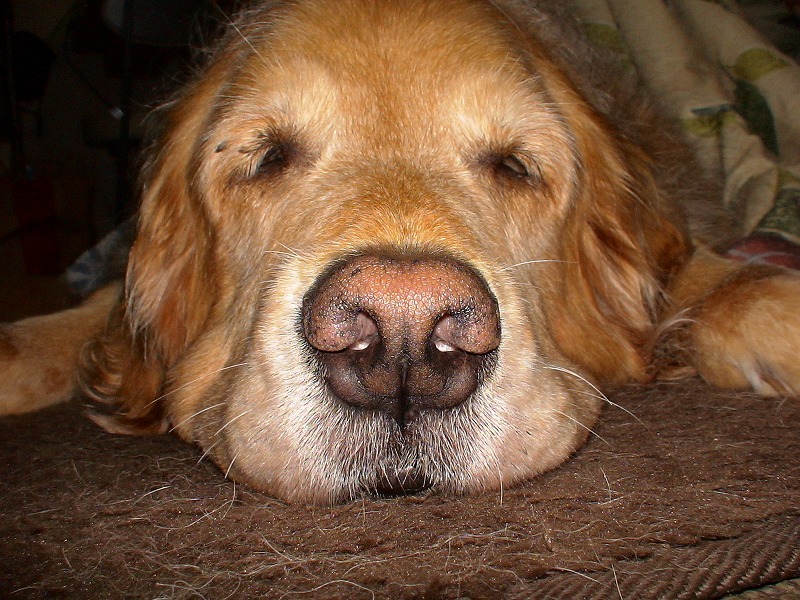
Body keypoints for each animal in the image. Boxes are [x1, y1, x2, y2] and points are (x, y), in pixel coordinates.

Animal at [1, 1, 800, 502]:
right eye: (265, 157)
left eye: (515, 165)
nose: (403, 338)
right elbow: (100, 308)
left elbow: (696, 272)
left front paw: (765, 300)